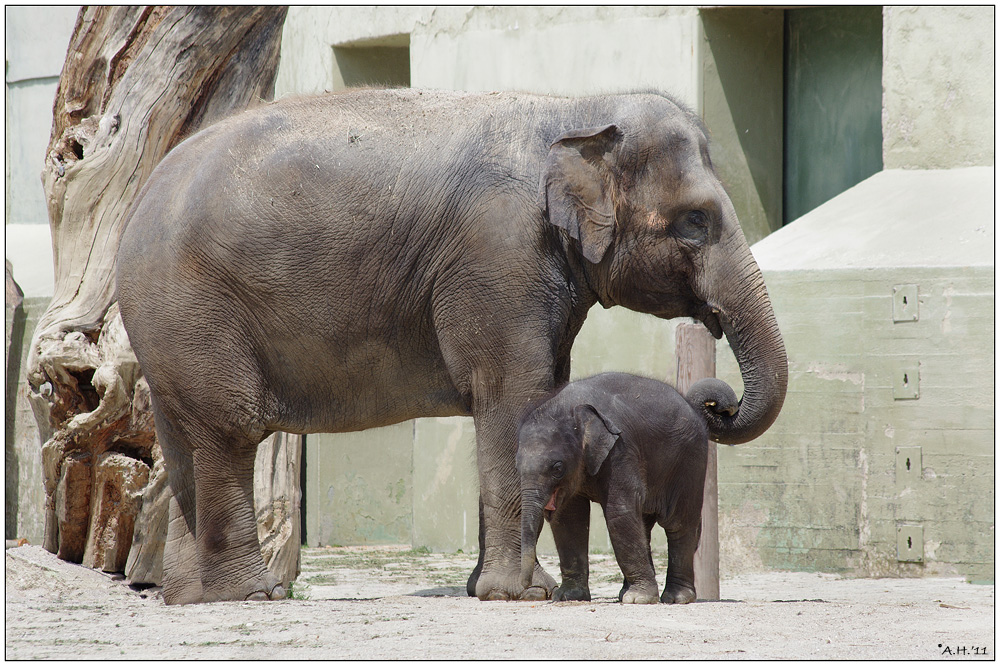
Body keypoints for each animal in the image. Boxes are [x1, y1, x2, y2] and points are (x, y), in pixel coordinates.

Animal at [516, 370, 736, 604]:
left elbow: (619, 512)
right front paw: (568, 596)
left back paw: (675, 598)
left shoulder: (621, 450)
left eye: (557, 468)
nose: (528, 587)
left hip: (690, 459)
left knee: (678, 524)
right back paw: (627, 592)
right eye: (517, 466)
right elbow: (569, 518)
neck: (569, 407)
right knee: (644, 524)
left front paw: (639, 599)